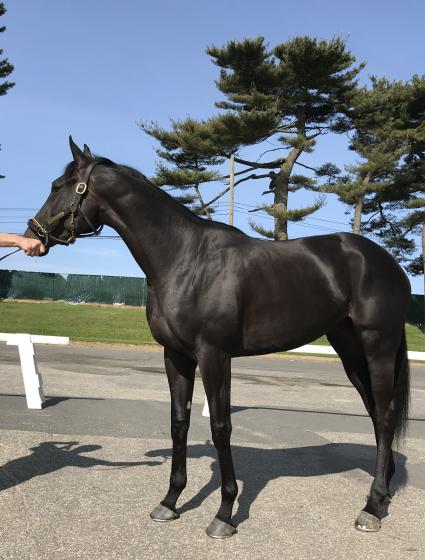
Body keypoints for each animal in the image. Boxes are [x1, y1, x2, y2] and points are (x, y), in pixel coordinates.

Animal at [24, 139, 410, 540]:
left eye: (58, 186)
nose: (34, 234)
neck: (183, 258)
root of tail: (388, 264)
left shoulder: (214, 355)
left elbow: (220, 426)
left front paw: (224, 513)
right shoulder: (176, 355)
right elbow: (179, 422)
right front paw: (170, 501)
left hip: (377, 348)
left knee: (384, 417)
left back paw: (371, 507)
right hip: (349, 350)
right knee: (377, 414)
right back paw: (382, 494)